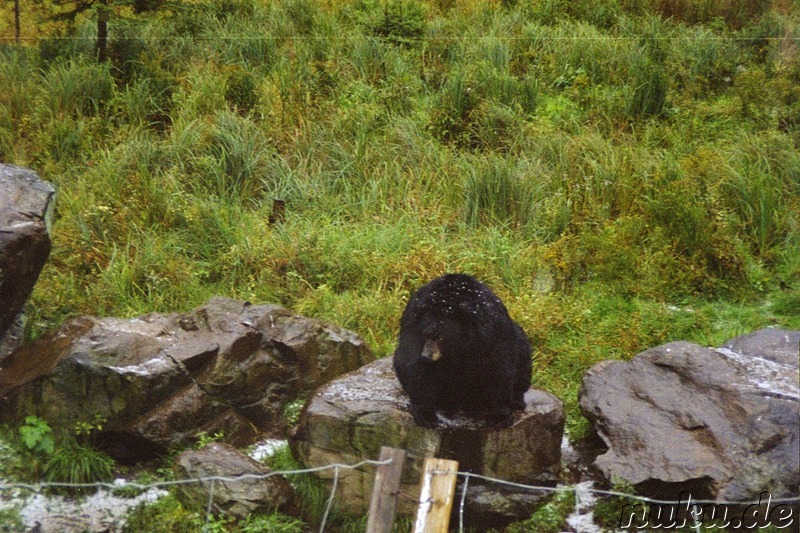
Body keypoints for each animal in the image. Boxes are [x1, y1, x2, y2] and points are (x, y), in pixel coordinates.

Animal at [392, 274, 532, 428]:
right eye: (425, 334)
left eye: (441, 337)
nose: (427, 356)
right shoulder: (413, 323)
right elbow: (415, 364)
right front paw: (426, 415)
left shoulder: (491, 334)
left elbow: (499, 367)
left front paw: (499, 416)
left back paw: (517, 400)